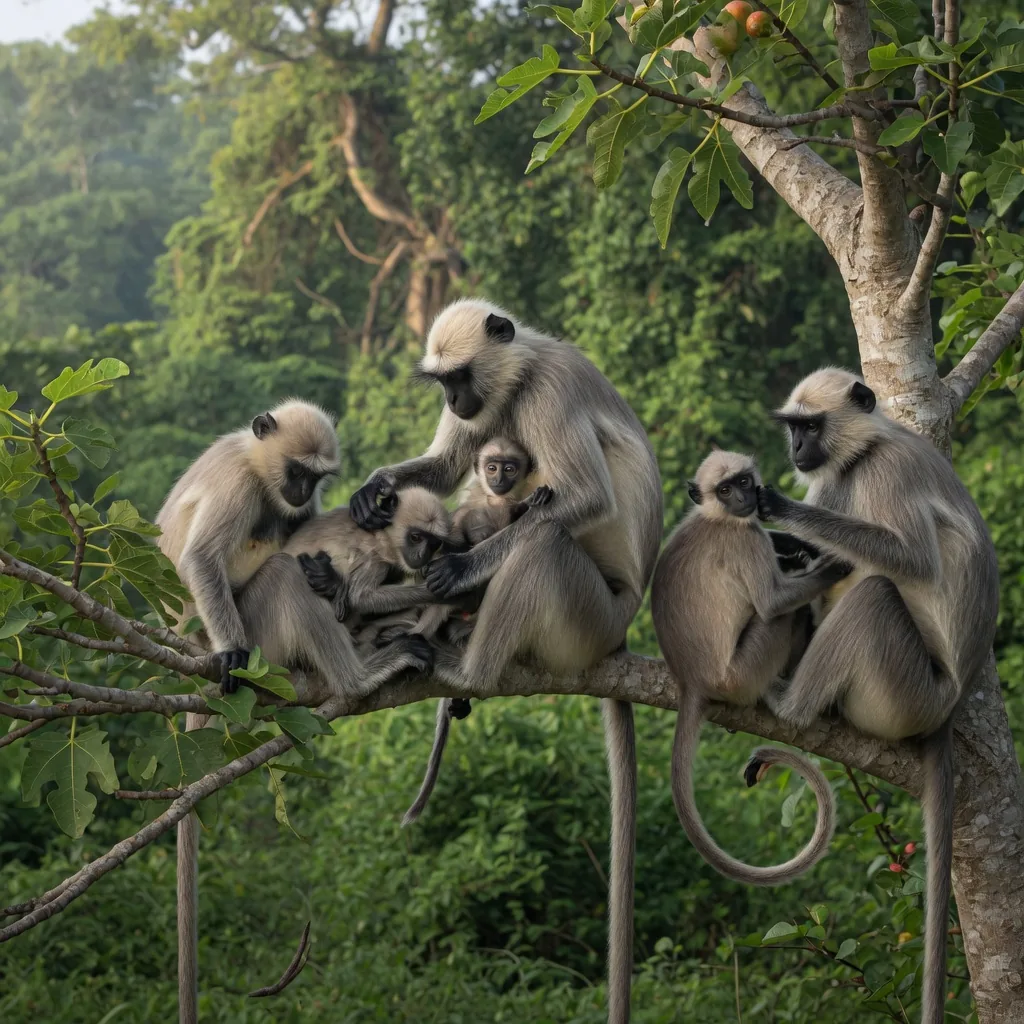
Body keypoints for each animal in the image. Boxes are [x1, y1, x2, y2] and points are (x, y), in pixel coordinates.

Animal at [155, 399, 339, 1024]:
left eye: (317, 476)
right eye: (297, 470)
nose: (302, 490)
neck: (257, 464)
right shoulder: (241, 484)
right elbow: (201, 557)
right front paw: (234, 655)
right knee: (274, 566)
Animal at [347, 298, 663, 1023]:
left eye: (458, 376)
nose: (455, 399)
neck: (518, 374)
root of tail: (622, 629)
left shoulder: (549, 392)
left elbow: (586, 498)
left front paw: (459, 568)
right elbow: (444, 468)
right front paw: (374, 489)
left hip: (591, 611)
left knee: (543, 542)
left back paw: (465, 664)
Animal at [650, 449, 848, 886]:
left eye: (742, 482)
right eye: (724, 490)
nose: (742, 499)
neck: (716, 518)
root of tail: (690, 679)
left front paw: (792, 541)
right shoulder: (744, 540)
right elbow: (774, 604)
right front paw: (834, 566)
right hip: (742, 672)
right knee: (784, 615)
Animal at [755, 367, 999, 1024]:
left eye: (810, 427)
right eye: (793, 428)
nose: (796, 451)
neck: (863, 450)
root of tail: (947, 705)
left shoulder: (884, 471)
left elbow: (908, 557)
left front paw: (777, 509)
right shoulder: (836, 478)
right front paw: (784, 543)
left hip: (906, 690)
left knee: (874, 595)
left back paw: (788, 705)